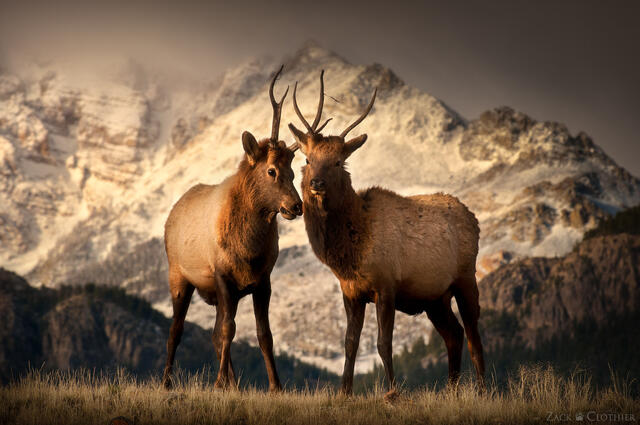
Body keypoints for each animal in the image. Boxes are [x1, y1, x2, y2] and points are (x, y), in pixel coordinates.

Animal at [161, 66, 302, 391]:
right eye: (271, 170)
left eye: (293, 172)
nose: (296, 205)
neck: (249, 250)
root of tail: (172, 213)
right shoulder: (222, 275)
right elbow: (228, 329)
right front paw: (216, 384)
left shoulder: (262, 281)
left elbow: (263, 335)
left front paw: (275, 387)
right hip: (179, 276)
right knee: (176, 331)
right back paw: (166, 382)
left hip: (219, 293)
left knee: (214, 333)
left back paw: (233, 384)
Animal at [288, 71, 485, 398]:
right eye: (307, 160)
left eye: (338, 162)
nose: (316, 183)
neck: (348, 254)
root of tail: (473, 217)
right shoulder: (351, 292)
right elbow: (350, 344)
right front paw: (344, 392)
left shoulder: (387, 285)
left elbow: (383, 344)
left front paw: (392, 392)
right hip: (435, 296)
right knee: (454, 334)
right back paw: (451, 389)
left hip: (465, 277)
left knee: (473, 332)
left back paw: (484, 388)